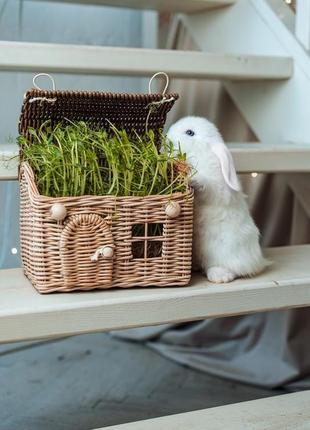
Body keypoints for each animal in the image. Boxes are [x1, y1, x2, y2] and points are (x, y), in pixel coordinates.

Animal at [167, 116, 268, 284]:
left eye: (190, 132)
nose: (167, 136)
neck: (200, 153)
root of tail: (259, 262)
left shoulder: (219, 187)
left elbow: (208, 187)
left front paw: (191, 178)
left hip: (225, 252)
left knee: (236, 270)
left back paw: (220, 276)